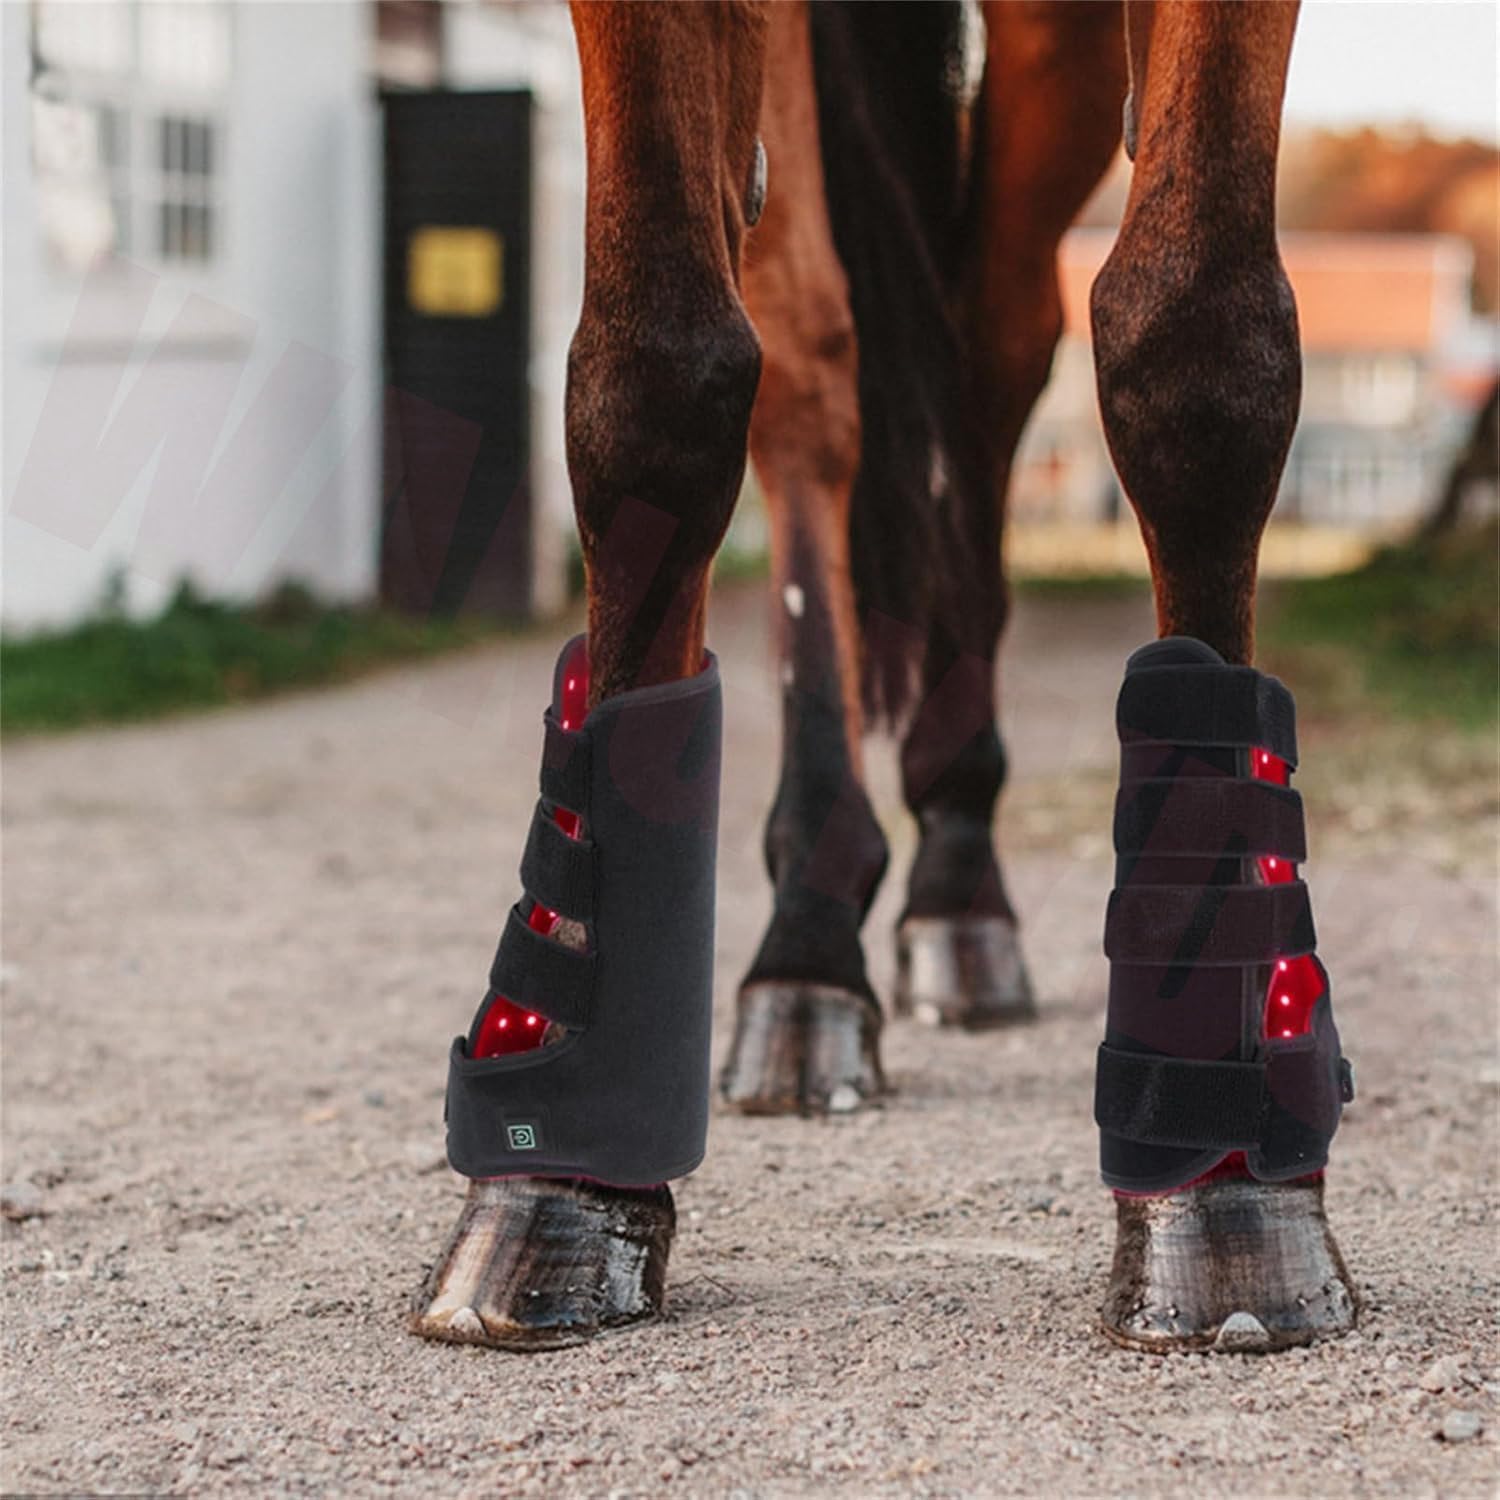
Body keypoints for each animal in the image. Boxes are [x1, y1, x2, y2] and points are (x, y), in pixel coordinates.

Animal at [410, 0, 1356, 1355]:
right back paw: (810, 938)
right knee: (816, 368)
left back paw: (957, 875)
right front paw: (562, 1182)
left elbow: (1199, 347)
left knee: (993, 342)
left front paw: (1229, 1198)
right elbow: (654, 374)